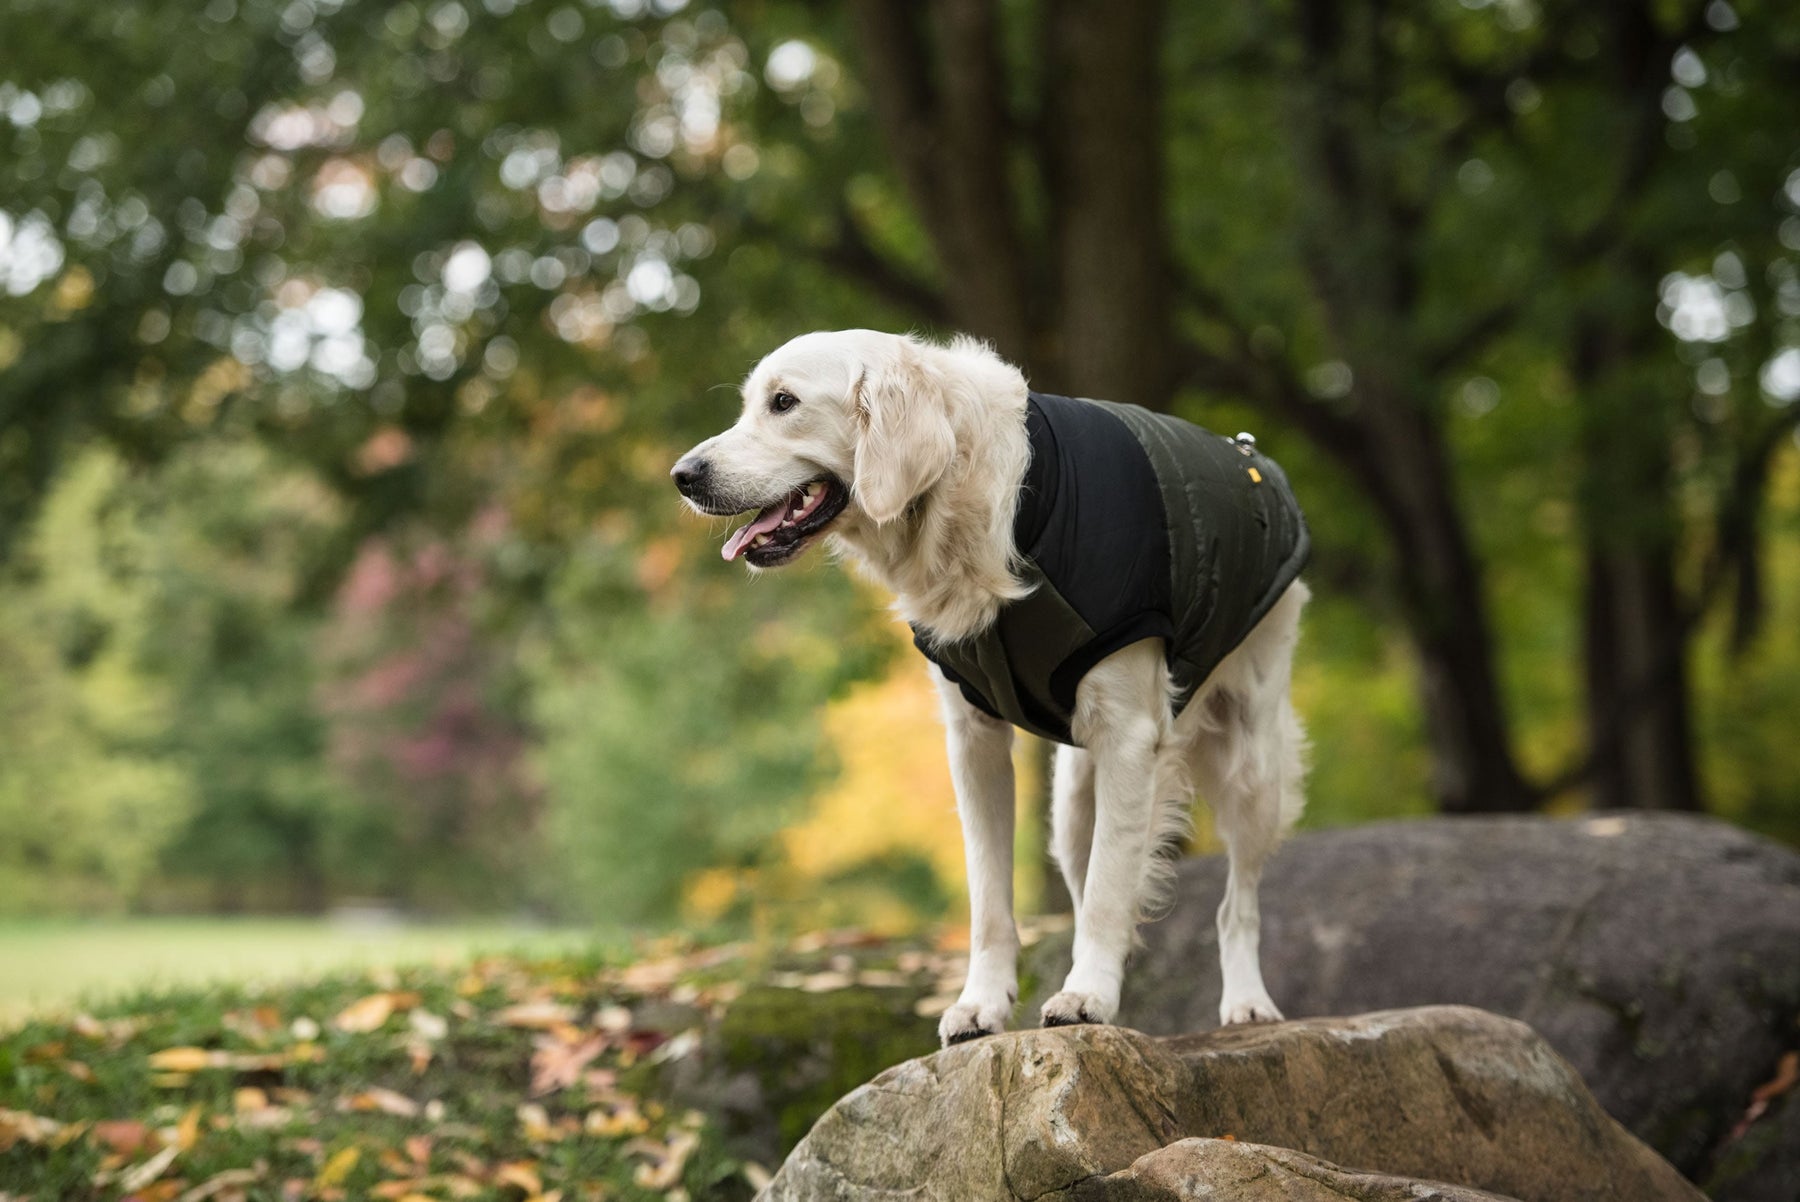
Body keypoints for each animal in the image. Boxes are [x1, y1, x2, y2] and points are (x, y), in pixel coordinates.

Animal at [676, 325, 1310, 1043]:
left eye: (784, 402)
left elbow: (1109, 895)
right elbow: (992, 896)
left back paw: (1246, 1002)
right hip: (1072, 804)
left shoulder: (1129, 738)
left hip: (1252, 765)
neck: (982, 505)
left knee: (1236, 903)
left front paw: (1086, 996)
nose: (682, 476)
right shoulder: (973, 738)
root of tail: (1255, 462)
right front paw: (983, 1003)